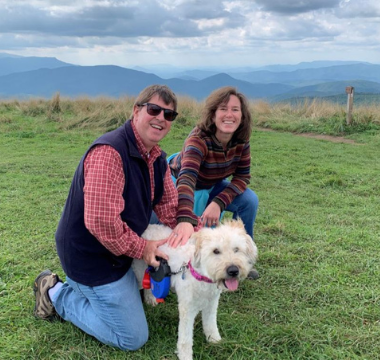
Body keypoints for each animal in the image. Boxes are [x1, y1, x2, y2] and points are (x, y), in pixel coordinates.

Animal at [132, 218, 260, 360]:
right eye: (216, 251)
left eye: (236, 249)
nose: (233, 271)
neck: (202, 277)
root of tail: (149, 227)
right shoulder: (187, 310)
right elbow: (185, 337)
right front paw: (185, 355)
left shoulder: (212, 304)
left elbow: (210, 324)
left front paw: (214, 340)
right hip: (140, 270)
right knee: (143, 285)